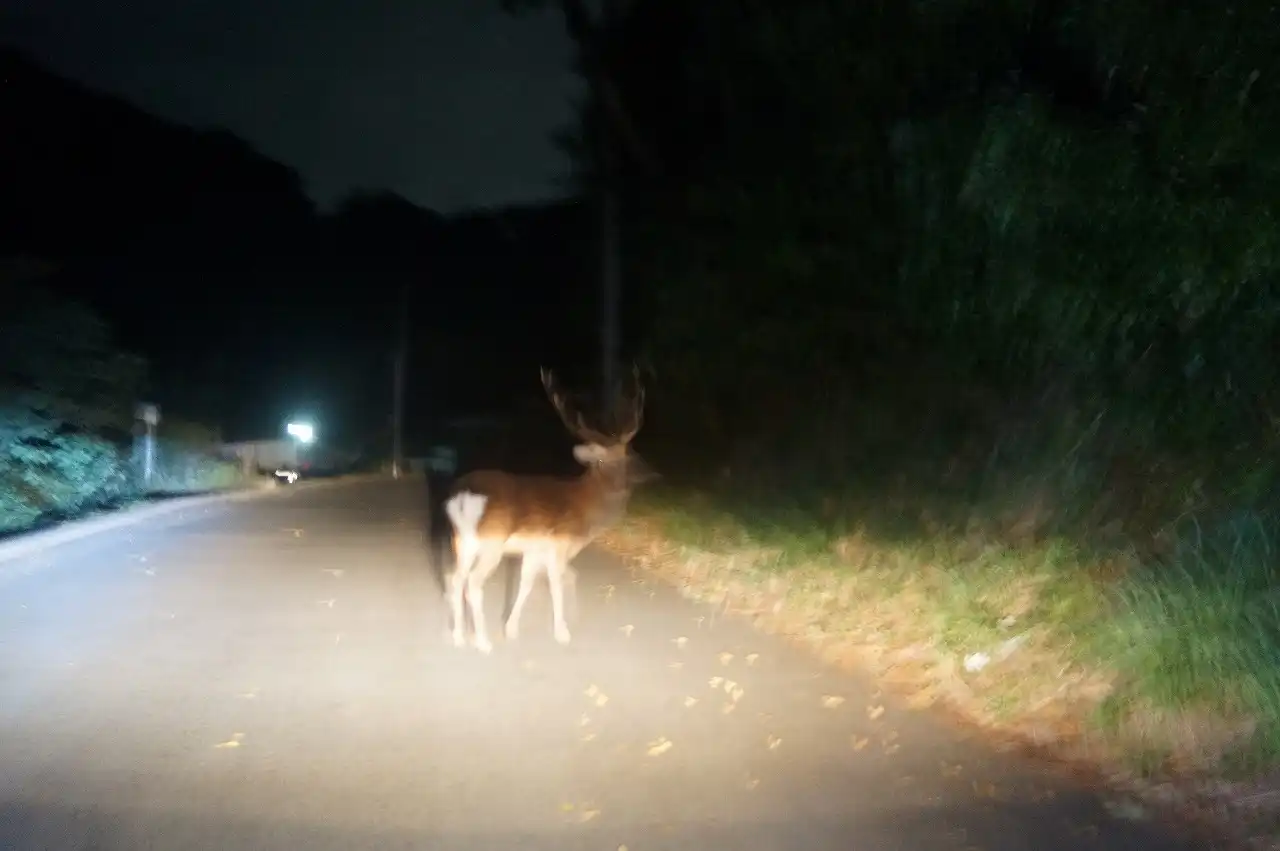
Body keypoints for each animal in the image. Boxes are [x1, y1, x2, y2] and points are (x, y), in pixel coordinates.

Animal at [442, 367, 647, 653]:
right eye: (622, 456)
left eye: (630, 452)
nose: (644, 473)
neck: (587, 507)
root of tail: (462, 496)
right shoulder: (559, 544)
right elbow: (557, 584)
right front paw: (563, 633)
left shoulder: (534, 548)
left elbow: (526, 582)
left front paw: (511, 629)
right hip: (492, 541)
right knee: (472, 582)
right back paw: (482, 642)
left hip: (461, 540)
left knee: (454, 577)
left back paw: (459, 637)